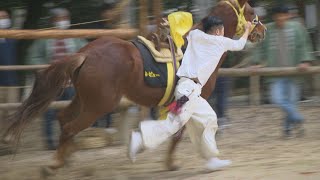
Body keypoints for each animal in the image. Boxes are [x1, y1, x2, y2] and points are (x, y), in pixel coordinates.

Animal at [1, 0, 264, 174]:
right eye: (251, 11)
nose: (262, 30)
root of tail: (85, 53)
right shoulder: (191, 102)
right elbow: (178, 134)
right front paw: (171, 163)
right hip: (99, 105)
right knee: (70, 126)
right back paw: (54, 164)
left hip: (84, 99)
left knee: (64, 118)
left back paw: (67, 157)